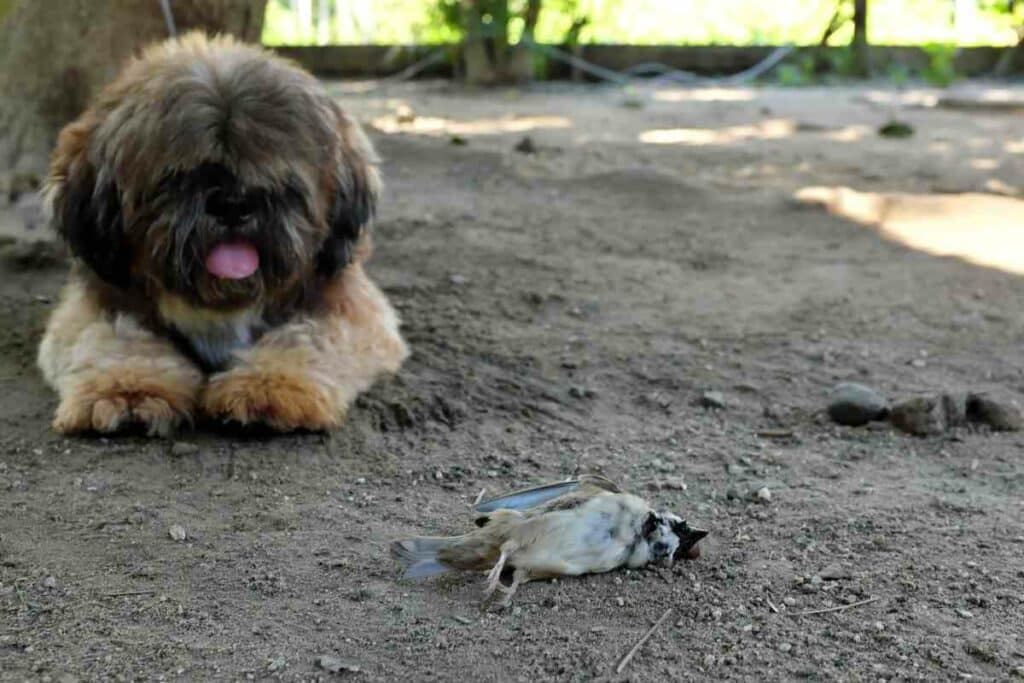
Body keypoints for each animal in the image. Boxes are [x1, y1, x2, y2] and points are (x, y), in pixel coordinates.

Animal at [39, 31, 407, 436]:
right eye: (175, 177)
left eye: (279, 175)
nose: (233, 203)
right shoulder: (98, 305)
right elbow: (116, 339)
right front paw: (128, 389)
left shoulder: (349, 309)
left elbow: (307, 338)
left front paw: (268, 386)